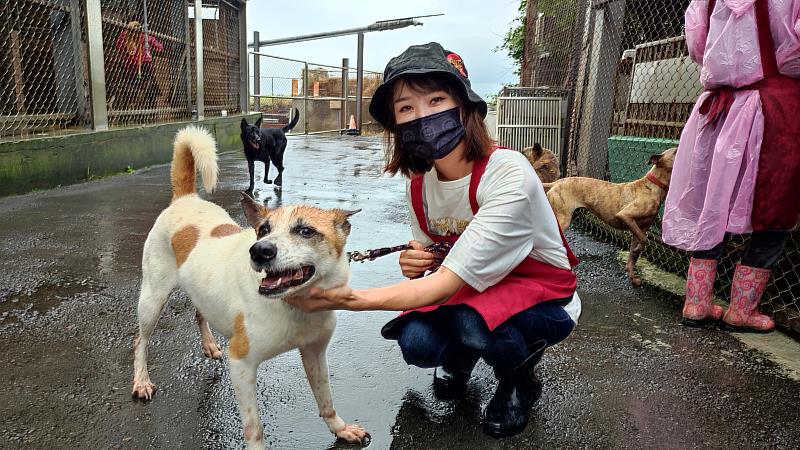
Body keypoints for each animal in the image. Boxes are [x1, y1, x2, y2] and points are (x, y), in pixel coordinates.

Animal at [132, 125, 368, 448]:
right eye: (263, 230)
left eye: (306, 231)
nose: (259, 251)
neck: (295, 306)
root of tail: (185, 198)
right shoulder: (242, 364)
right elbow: (254, 427)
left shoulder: (315, 353)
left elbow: (326, 400)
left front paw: (341, 429)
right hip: (152, 299)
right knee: (140, 341)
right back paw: (141, 381)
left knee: (199, 313)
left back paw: (208, 344)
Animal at [544, 148, 676, 284]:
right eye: (675, 151)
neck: (653, 185)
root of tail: (556, 183)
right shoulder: (625, 216)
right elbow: (644, 240)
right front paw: (638, 250)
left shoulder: (639, 230)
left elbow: (633, 257)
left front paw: (633, 276)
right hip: (563, 219)